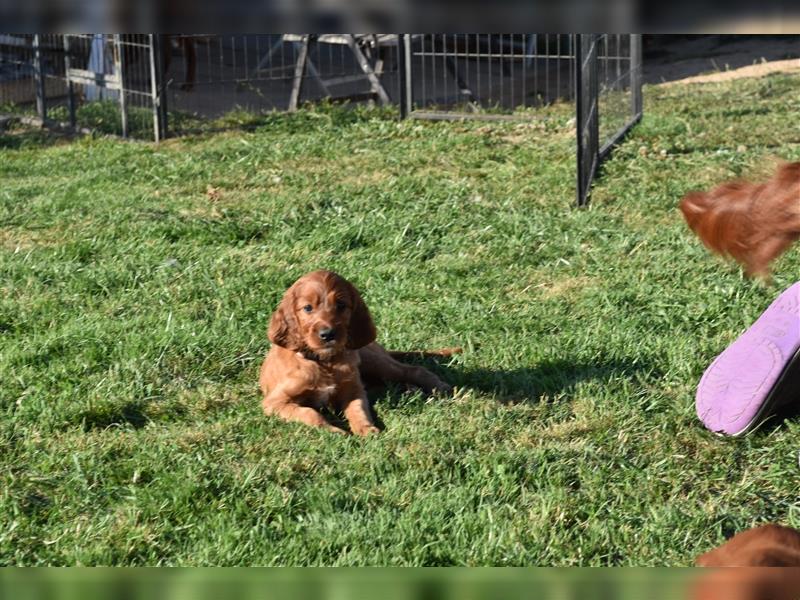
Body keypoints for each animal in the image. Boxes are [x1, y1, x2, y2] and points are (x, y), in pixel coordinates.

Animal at [258, 272, 456, 436]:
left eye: (341, 305)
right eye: (307, 308)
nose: (328, 334)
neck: (325, 361)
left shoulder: (353, 389)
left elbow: (358, 409)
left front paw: (366, 429)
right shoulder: (275, 402)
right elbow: (309, 413)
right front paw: (334, 431)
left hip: (374, 362)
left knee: (413, 370)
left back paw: (439, 387)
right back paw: (410, 390)